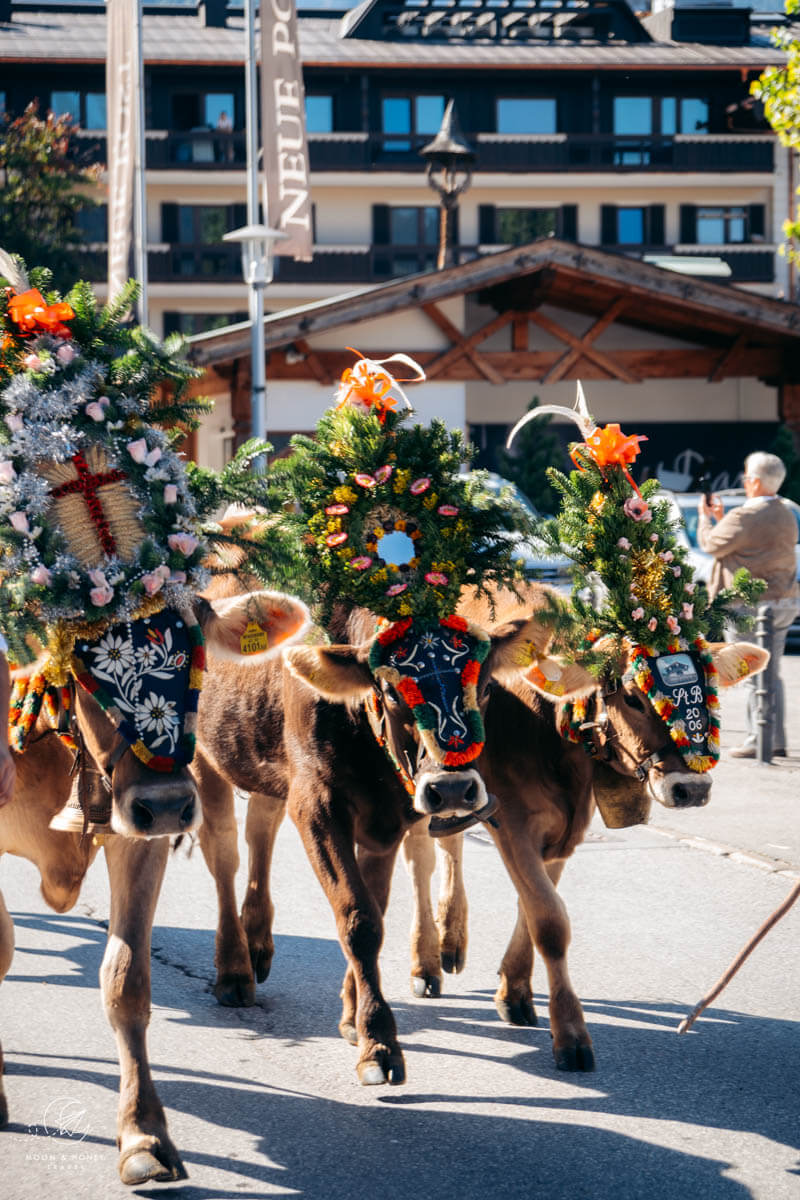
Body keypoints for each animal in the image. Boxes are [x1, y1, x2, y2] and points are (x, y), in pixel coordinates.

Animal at [0, 585, 309, 1185]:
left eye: (199, 651)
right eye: (81, 663)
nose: (166, 804)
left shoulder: (135, 833)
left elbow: (126, 981)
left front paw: (143, 1136)